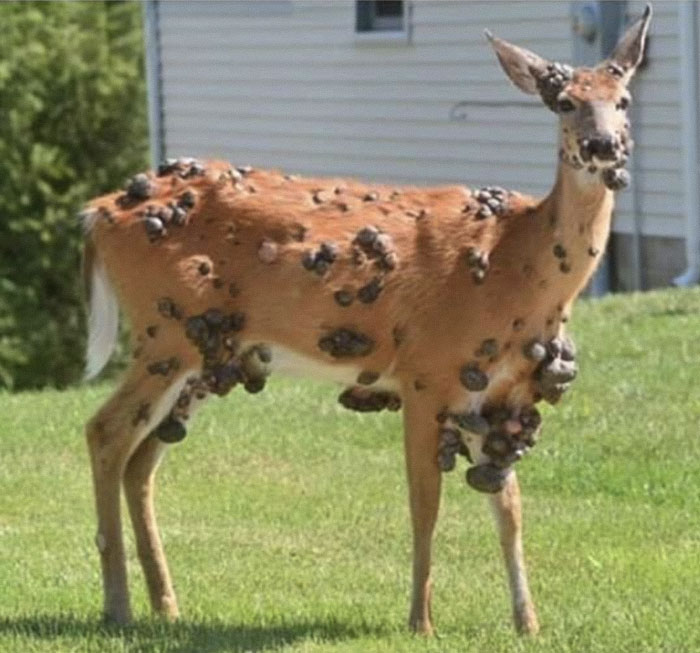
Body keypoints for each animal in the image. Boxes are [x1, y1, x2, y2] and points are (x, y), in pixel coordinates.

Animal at [81, 6, 651, 637]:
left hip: (209, 353)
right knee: (105, 432)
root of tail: (97, 212)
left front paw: (529, 624)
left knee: (141, 460)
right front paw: (421, 622)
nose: (603, 144)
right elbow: (425, 505)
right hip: (165, 332)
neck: (515, 265)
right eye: (565, 101)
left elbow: (509, 510)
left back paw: (166, 605)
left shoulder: (499, 393)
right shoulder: (427, 373)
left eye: (623, 99)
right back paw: (116, 604)